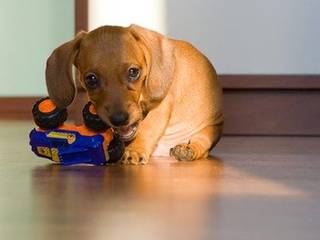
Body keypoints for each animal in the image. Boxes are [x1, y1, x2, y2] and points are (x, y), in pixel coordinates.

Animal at [46, 24, 224, 164]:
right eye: (91, 79)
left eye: (133, 72)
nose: (119, 119)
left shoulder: (163, 105)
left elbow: (148, 127)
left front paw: (135, 150)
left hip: (210, 129)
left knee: (202, 144)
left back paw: (188, 149)